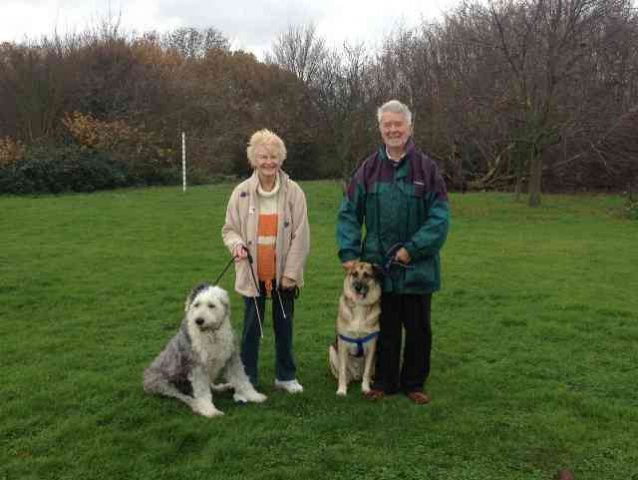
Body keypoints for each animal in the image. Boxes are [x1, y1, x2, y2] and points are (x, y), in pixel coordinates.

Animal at [144, 284, 266, 416]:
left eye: (211, 305)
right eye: (196, 304)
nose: (199, 320)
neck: (211, 333)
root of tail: (145, 377)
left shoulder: (231, 358)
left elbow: (241, 378)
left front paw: (254, 396)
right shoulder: (197, 365)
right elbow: (202, 390)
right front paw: (210, 410)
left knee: (210, 386)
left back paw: (224, 387)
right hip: (164, 384)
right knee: (184, 397)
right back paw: (197, 405)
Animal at [330, 260, 380, 396]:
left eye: (367, 275)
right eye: (355, 273)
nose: (358, 287)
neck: (359, 306)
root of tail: (356, 376)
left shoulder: (372, 346)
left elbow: (367, 372)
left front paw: (366, 388)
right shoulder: (343, 344)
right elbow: (342, 371)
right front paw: (341, 390)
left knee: (367, 374)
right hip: (331, 349)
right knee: (342, 373)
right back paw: (346, 380)